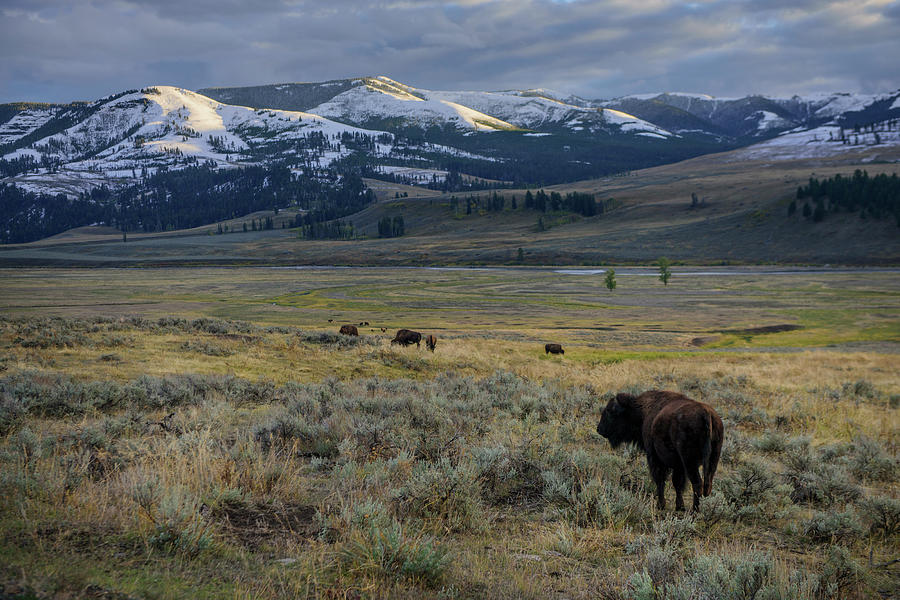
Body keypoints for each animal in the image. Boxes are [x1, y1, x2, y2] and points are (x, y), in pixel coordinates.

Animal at [596, 392, 724, 512]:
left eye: (610, 411)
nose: (599, 429)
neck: (642, 410)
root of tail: (706, 415)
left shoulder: (654, 457)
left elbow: (660, 480)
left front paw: (661, 505)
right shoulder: (678, 465)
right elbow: (677, 483)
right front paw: (679, 507)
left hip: (690, 462)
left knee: (697, 483)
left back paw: (694, 511)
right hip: (713, 459)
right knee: (707, 483)